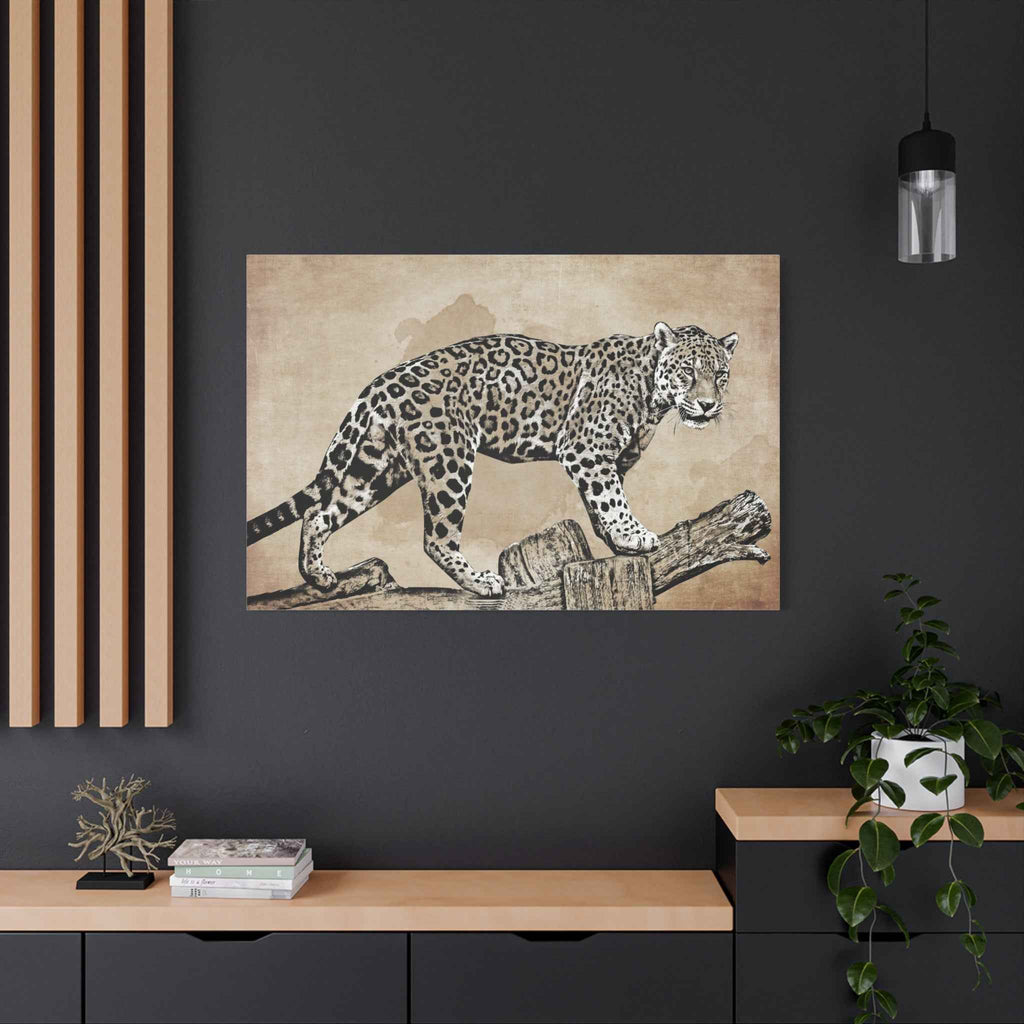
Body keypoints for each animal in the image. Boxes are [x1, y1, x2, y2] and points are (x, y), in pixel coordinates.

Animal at [246, 321, 738, 597]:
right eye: (688, 371)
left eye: (721, 374)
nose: (709, 405)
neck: (652, 394)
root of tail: (381, 382)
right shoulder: (586, 449)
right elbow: (612, 499)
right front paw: (633, 536)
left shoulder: (606, 460)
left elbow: (600, 502)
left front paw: (617, 542)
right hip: (448, 461)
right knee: (437, 539)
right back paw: (481, 582)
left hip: (377, 467)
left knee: (319, 511)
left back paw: (318, 575)